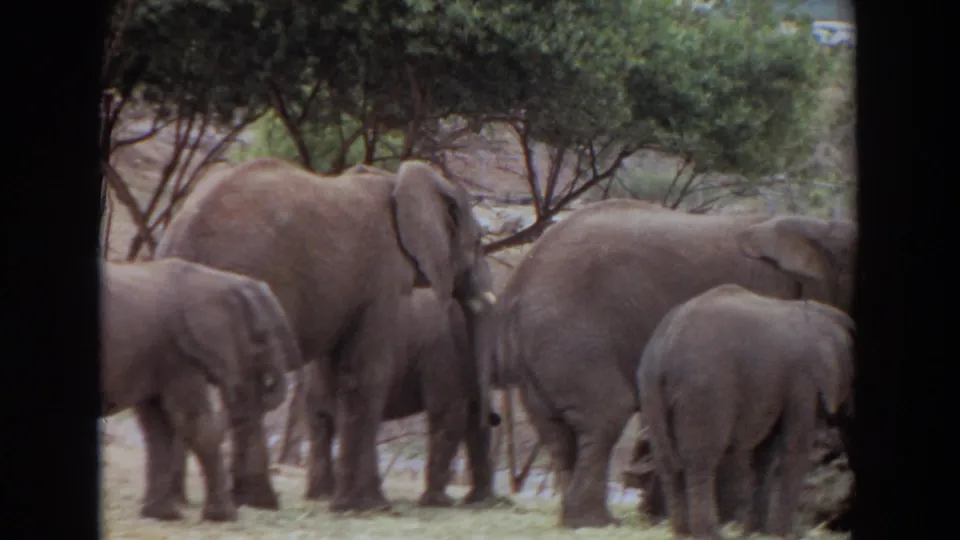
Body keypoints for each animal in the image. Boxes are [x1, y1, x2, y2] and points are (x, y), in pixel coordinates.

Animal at [100, 257, 301, 522]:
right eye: (263, 336)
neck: (217, 278)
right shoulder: (179, 351)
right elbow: (194, 423)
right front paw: (224, 516)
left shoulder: (157, 355)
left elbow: (159, 429)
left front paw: (163, 515)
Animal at [300, 287, 502, 507]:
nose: (496, 418)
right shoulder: (445, 348)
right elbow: (449, 412)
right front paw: (437, 502)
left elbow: (472, 418)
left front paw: (480, 501)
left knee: (321, 423)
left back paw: (322, 496)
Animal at [637, 284, 855, 540]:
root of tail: (666, 347)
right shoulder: (804, 380)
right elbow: (795, 447)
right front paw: (785, 535)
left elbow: (764, 455)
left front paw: (757, 533)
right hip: (705, 389)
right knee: (700, 461)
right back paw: (710, 533)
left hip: (650, 388)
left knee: (668, 463)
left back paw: (681, 532)